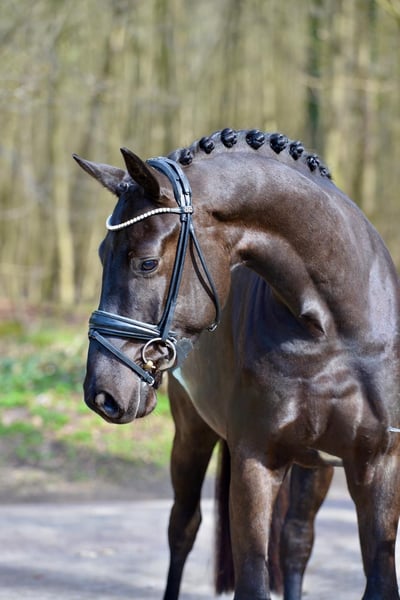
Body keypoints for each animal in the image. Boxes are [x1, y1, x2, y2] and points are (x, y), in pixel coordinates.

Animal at [74, 127, 400, 599]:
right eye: (101, 255)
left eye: (147, 262)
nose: (101, 392)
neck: (336, 330)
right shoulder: (256, 462)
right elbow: (251, 578)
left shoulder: (378, 466)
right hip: (192, 435)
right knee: (183, 528)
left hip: (316, 465)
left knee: (296, 540)